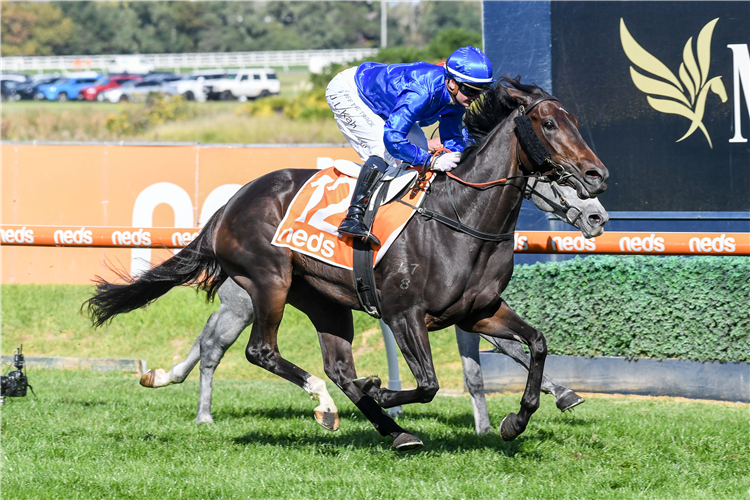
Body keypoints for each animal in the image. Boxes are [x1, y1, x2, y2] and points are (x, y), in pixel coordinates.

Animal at [86, 78, 612, 450]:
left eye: (574, 121)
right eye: (549, 125)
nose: (597, 177)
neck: (462, 218)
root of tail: (232, 202)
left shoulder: (478, 310)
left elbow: (536, 344)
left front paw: (514, 421)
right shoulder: (404, 313)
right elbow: (427, 383)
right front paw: (383, 392)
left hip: (325, 301)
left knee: (336, 366)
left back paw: (391, 429)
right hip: (268, 280)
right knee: (261, 351)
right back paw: (327, 404)